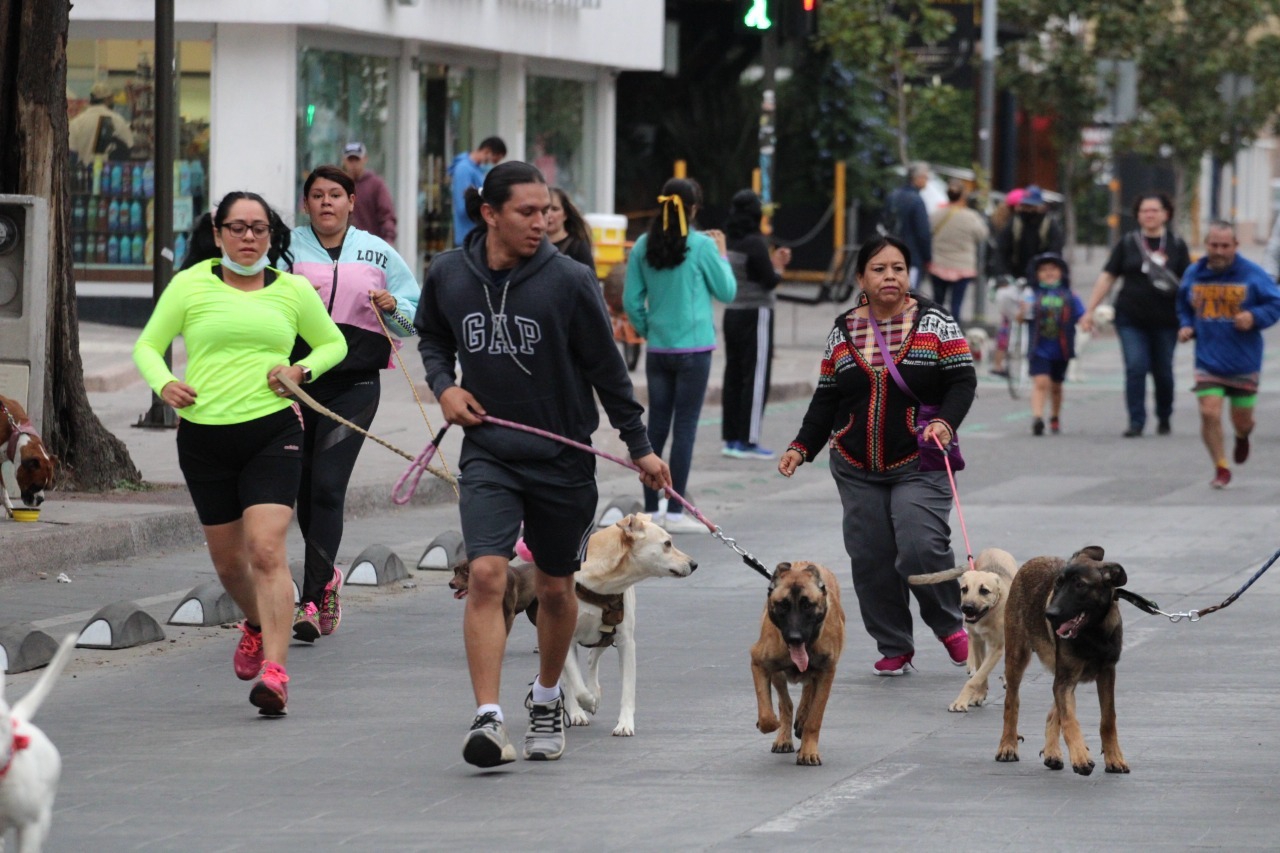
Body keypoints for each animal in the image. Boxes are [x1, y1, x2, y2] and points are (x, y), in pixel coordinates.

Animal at [563, 512, 701, 732]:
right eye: (667, 543)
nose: (694, 564)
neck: (602, 584)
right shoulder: (563, 636)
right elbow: (575, 682)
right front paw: (584, 703)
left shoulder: (625, 641)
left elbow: (627, 689)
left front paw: (625, 724)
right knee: (569, 677)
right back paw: (578, 711)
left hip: (605, 636)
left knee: (592, 659)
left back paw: (595, 692)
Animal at [747, 558, 844, 763]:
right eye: (783, 605)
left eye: (807, 605)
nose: (794, 638)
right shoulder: (759, 663)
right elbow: (767, 714)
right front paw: (770, 723)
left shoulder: (827, 673)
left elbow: (814, 718)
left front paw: (808, 750)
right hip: (777, 675)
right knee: (786, 703)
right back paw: (784, 737)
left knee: (808, 692)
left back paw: (801, 721)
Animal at [911, 545, 1018, 712]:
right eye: (964, 589)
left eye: (984, 591)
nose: (966, 608)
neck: (989, 613)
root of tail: (994, 549)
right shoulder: (979, 640)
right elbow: (980, 672)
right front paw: (978, 695)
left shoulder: (996, 648)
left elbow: (979, 676)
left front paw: (962, 701)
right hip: (973, 631)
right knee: (970, 638)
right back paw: (971, 664)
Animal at [988, 548, 1131, 773]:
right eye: (1058, 583)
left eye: (1080, 585)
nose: (1050, 614)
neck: (1093, 632)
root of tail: (1034, 559)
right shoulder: (1065, 680)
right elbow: (1070, 720)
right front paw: (1080, 757)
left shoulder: (1106, 673)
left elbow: (1108, 719)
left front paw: (1114, 757)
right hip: (1017, 656)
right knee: (1012, 701)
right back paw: (1008, 746)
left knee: (1053, 710)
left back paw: (1052, 752)